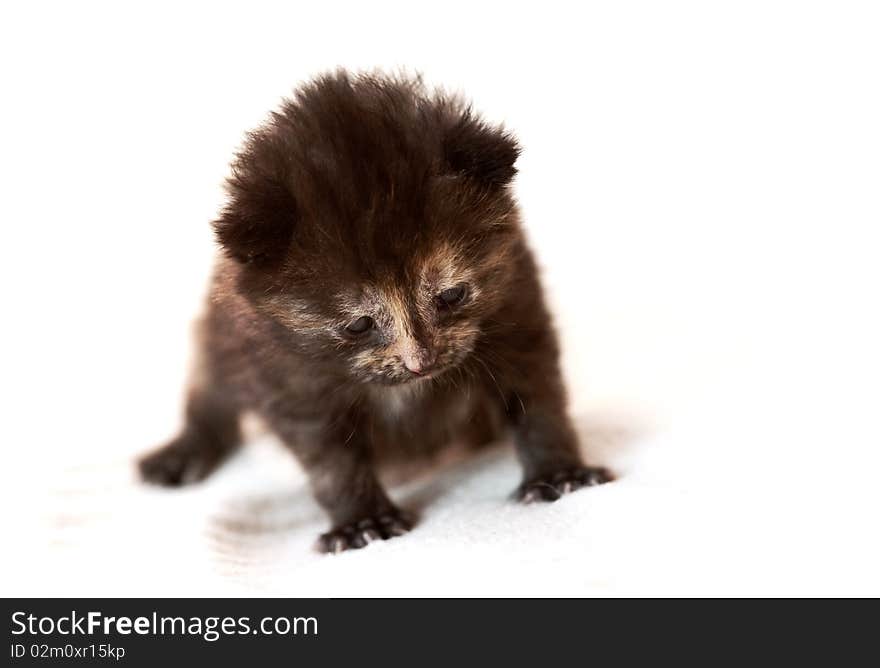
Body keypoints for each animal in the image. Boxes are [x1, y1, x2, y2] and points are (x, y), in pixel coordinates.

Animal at [143, 70, 612, 552]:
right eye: (358, 324)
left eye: (452, 295)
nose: (422, 363)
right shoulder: (286, 377)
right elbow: (332, 462)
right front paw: (362, 521)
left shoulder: (517, 307)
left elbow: (538, 401)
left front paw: (558, 471)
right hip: (218, 337)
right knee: (209, 395)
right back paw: (182, 454)